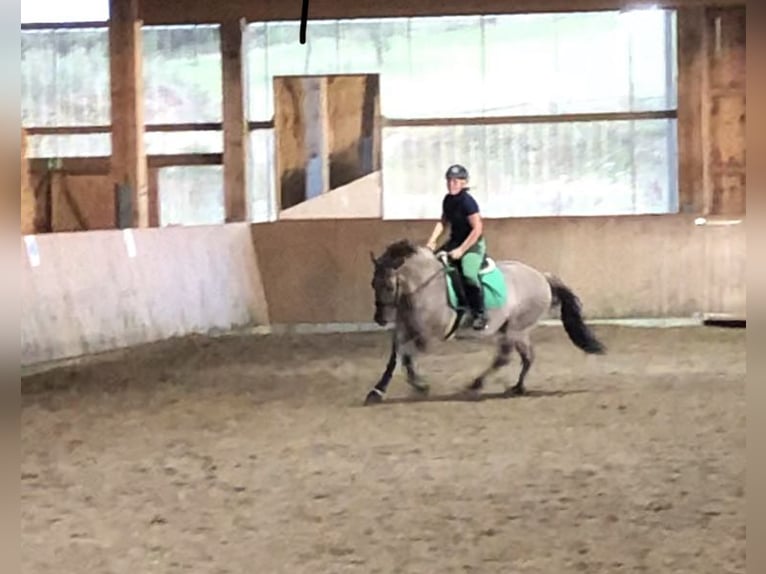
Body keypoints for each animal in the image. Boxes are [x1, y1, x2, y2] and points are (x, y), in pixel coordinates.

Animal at [366, 241, 608, 408]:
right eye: (373, 284)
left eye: (389, 286)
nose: (380, 319)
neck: (423, 287)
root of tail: (542, 277)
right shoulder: (405, 328)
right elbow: (396, 356)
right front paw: (377, 391)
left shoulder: (429, 336)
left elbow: (406, 354)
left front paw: (420, 385)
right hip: (510, 329)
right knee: (520, 357)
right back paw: (510, 387)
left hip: (516, 329)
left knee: (511, 357)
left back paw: (485, 386)